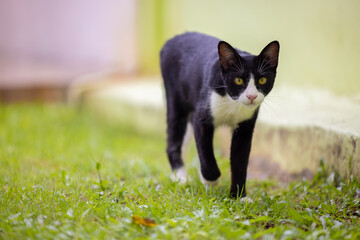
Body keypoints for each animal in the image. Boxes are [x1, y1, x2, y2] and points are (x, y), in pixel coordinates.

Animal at [160, 31, 282, 198]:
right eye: (238, 80)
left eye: (262, 79)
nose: (251, 96)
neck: (232, 101)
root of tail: (172, 39)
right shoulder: (202, 118)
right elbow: (205, 151)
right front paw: (210, 179)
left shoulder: (245, 127)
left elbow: (240, 161)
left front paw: (239, 196)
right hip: (175, 99)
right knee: (173, 140)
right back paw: (181, 177)